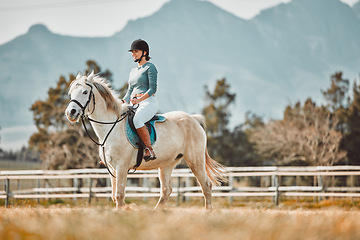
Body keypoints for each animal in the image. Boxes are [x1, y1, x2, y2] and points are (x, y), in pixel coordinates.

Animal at [65, 71, 225, 208]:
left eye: (85, 92)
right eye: (71, 93)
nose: (71, 112)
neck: (111, 127)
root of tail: (193, 119)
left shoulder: (122, 167)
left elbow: (119, 196)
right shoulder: (112, 168)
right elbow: (114, 196)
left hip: (195, 161)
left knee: (206, 186)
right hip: (167, 164)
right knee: (166, 191)